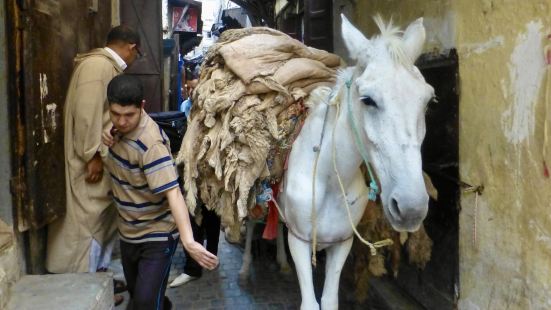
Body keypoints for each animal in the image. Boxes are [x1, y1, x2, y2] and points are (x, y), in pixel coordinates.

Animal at [280, 15, 436, 308]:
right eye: (368, 100)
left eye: (427, 101)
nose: (411, 209)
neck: (330, 180)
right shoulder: (299, 241)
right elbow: (310, 303)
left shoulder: (342, 242)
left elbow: (329, 300)